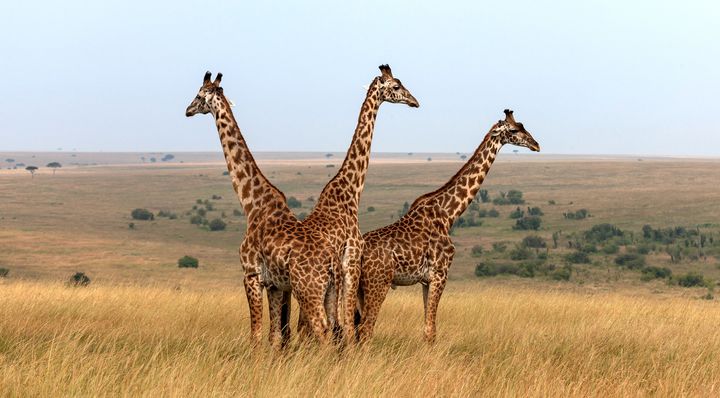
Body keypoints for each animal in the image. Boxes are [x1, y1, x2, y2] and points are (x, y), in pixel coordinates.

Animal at [296, 64, 420, 342]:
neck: (350, 193)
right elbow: (348, 324)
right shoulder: (351, 259)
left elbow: (342, 322)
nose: (415, 101)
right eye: (396, 86)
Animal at [358, 109, 536, 342]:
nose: (536, 145)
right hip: (378, 283)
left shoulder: (426, 280)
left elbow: (427, 327)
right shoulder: (440, 274)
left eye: (523, 126)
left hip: (358, 289)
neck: (448, 214)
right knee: (365, 328)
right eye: (514, 130)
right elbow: (430, 331)